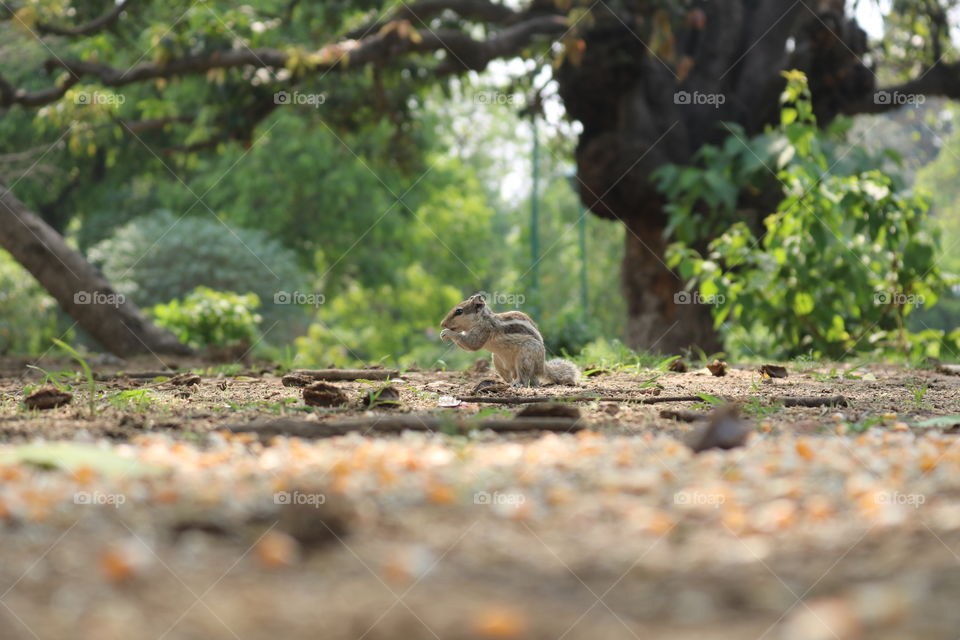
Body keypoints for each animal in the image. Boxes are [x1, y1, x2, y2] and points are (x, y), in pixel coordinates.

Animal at [439, 293, 579, 386]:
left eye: (459, 311)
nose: (442, 324)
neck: (482, 319)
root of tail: (542, 367)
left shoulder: (484, 329)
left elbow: (472, 344)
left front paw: (448, 333)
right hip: (498, 361)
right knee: (523, 378)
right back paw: (504, 382)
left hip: (525, 356)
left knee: (525, 378)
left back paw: (517, 384)